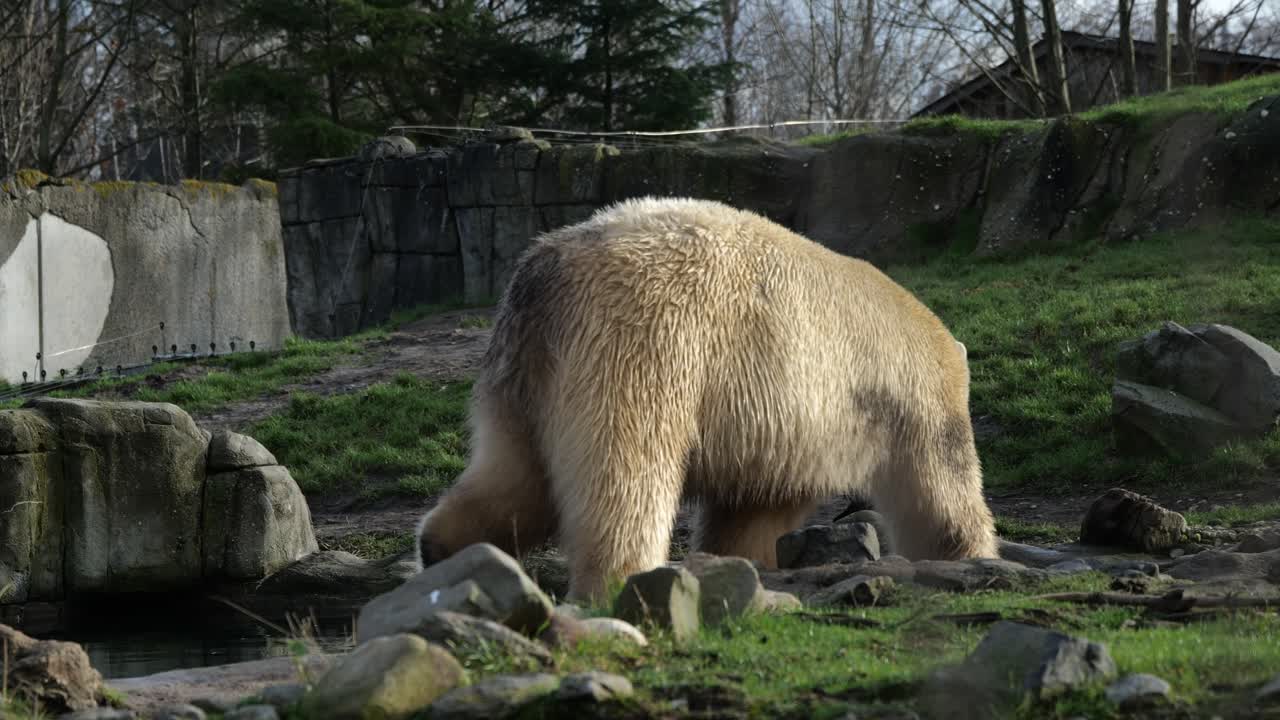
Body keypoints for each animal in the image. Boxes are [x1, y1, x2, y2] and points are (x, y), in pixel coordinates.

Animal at [416, 196, 999, 602]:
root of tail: (548, 270)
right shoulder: (910, 402)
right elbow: (938, 488)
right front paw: (972, 555)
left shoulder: (784, 428)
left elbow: (752, 510)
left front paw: (738, 563)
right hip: (643, 345)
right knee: (625, 472)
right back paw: (621, 579)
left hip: (521, 366)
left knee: (515, 473)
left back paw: (442, 548)